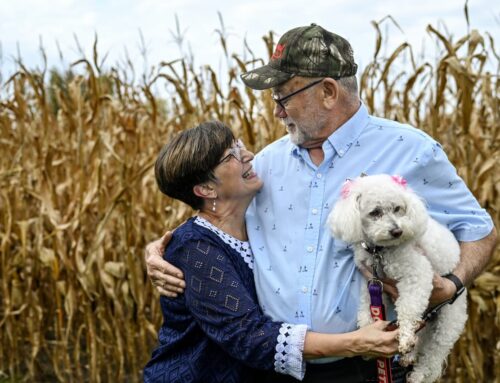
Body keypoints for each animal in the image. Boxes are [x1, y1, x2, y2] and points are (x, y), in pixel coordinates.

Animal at [328, 175, 468, 383]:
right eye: (375, 212)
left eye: (398, 208)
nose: (397, 231)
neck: (380, 252)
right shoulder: (373, 282)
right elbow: (365, 309)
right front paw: (367, 336)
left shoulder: (417, 274)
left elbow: (408, 308)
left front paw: (404, 338)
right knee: (421, 335)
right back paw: (409, 356)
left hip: (447, 326)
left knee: (432, 358)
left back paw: (417, 374)